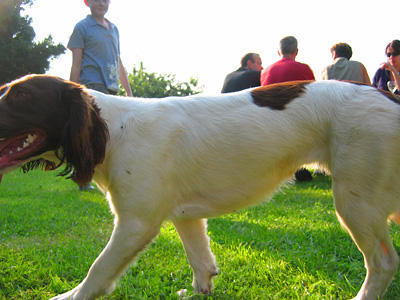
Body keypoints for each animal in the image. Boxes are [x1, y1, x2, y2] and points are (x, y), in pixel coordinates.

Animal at [0, 74, 400, 300]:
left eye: (20, 96)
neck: (115, 130)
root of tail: (388, 95)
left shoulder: (136, 224)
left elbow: (98, 270)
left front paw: (71, 295)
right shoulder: (184, 217)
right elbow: (201, 262)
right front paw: (200, 293)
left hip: (355, 201)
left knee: (383, 263)